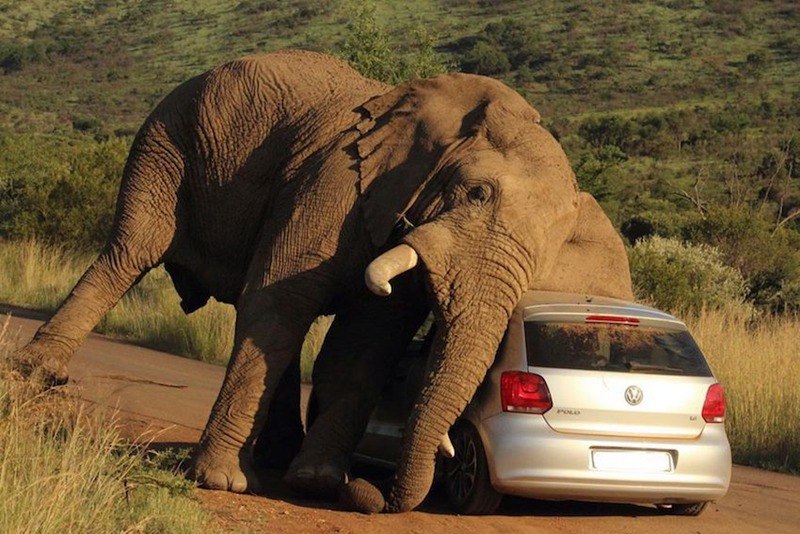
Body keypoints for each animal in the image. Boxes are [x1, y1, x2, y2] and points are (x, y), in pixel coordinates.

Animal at [12, 50, 632, 513]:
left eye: (552, 246)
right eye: (477, 194)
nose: (370, 494)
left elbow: (365, 340)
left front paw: (316, 480)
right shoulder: (338, 180)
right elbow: (281, 298)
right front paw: (223, 483)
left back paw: (277, 461)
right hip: (167, 138)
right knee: (131, 251)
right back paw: (38, 376)